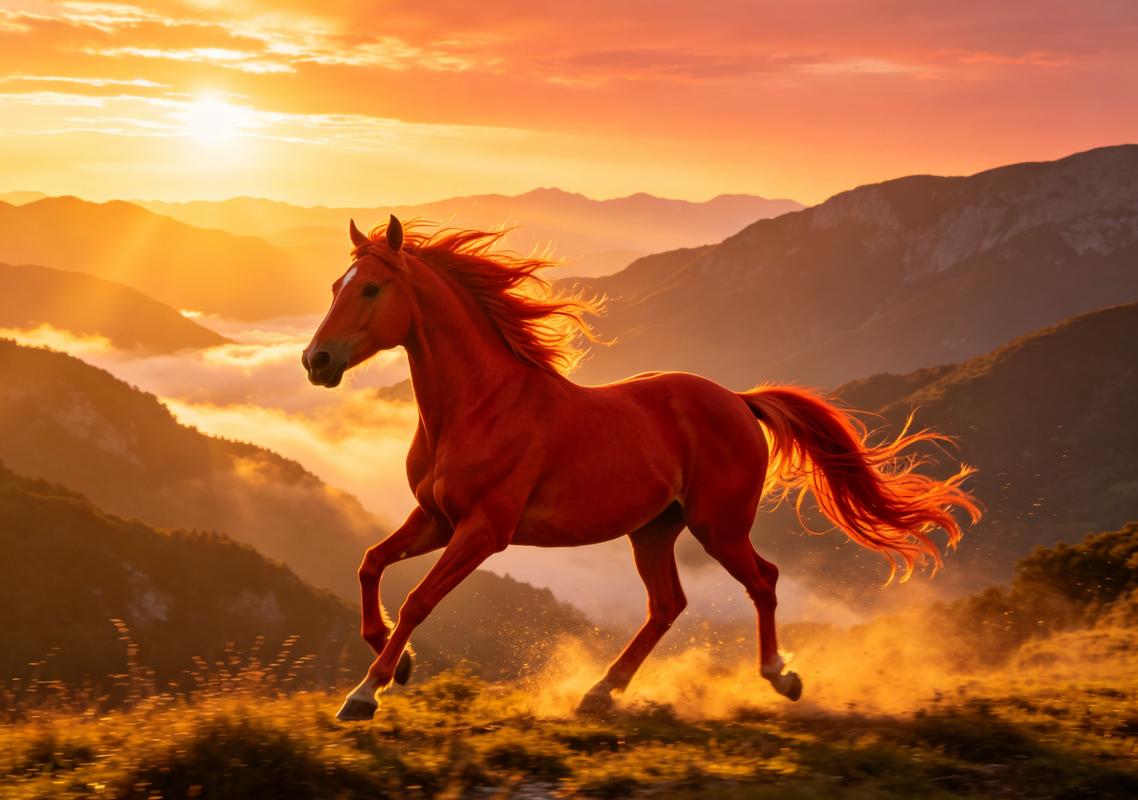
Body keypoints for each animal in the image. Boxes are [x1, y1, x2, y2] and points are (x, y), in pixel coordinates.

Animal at [302, 215, 981, 721]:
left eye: (370, 288)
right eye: (335, 285)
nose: (316, 361)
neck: (480, 406)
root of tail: (738, 400)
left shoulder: (484, 530)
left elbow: (418, 599)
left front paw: (365, 693)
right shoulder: (437, 519)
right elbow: (369, 563)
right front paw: (398, 665)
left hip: (718, 526)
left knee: (762, 580)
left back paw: (779, 676)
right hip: (654, 529)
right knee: (668, 604)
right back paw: (600, 692)